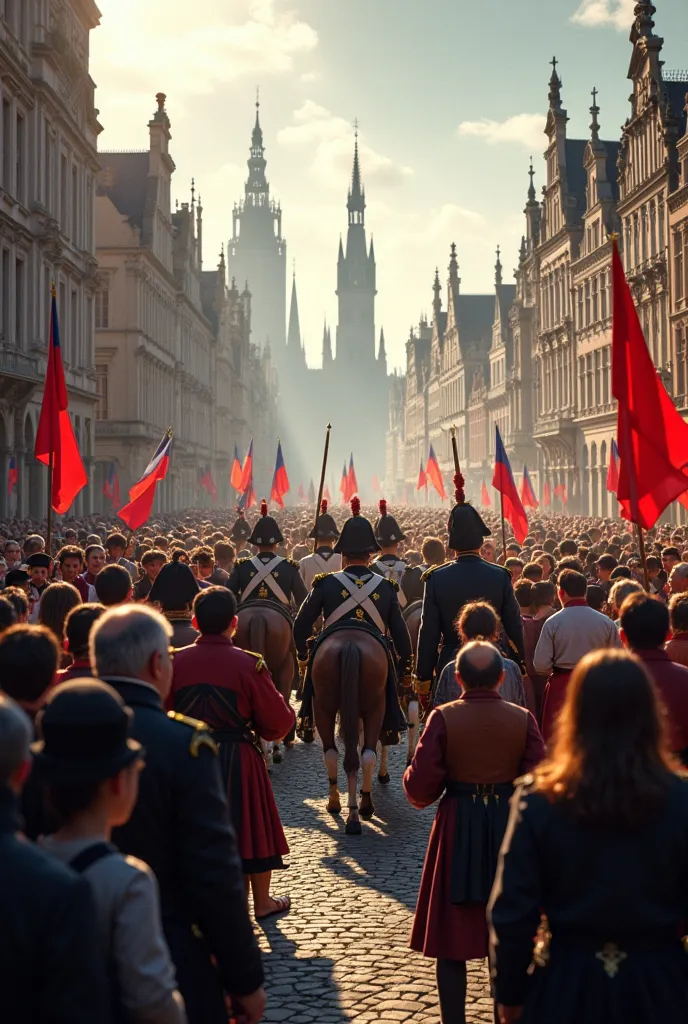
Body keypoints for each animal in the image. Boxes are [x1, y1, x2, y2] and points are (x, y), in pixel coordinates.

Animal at [311, 626, 387, 835]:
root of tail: (350, 642)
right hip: (375, 707)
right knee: (365, 754)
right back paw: (360, 809)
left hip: (323, 707)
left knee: (335, 753)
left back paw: (344, 809)